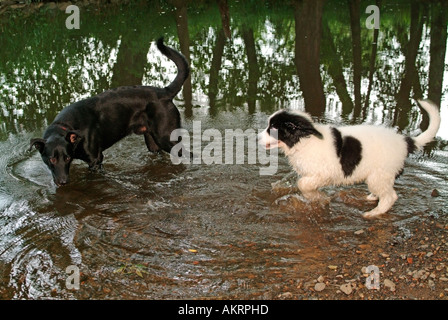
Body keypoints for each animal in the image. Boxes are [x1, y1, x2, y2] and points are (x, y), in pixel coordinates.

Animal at [28, 38, 189, 186]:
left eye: (67, 158)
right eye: (52, 159)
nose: (63, 182)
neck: (67, 126)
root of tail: (164, 92)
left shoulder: (95, 159)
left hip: (167, 138)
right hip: (153, 142)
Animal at [260, 100, 440, 218]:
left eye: (273, 128)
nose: (257, 137)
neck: (305, 140)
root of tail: (404, 141)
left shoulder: (324, 173)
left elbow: (303, 184)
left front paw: (319, 198)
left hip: (379, 174)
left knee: (390, 197)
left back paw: (373, 213)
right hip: (380, 176)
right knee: (385, 191)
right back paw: (372, 197)